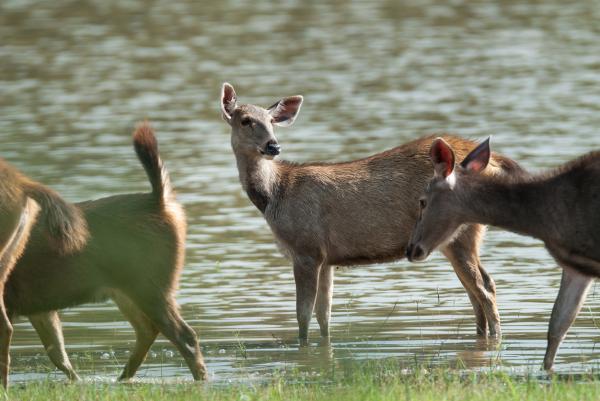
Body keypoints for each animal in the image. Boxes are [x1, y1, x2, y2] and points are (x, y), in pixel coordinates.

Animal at [3, 121, 207, 382]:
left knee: (184, 335)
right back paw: (122, 378)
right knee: (148, 329)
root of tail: (160, 201)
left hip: (150, 284)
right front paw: (77, 383)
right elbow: (57, 352)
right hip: (126, 290)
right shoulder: (37, 305)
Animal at [220, 82, 524, 344]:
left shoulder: (306, 249)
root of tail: (493, 159)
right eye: (245, 120)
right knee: (477, 290)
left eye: (271, 121)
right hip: (453, 239)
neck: (275, 195)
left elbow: (302, 316)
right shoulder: (325, 258)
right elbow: (324, 316)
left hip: (462, 235)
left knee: (485, 289)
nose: (273, 146)